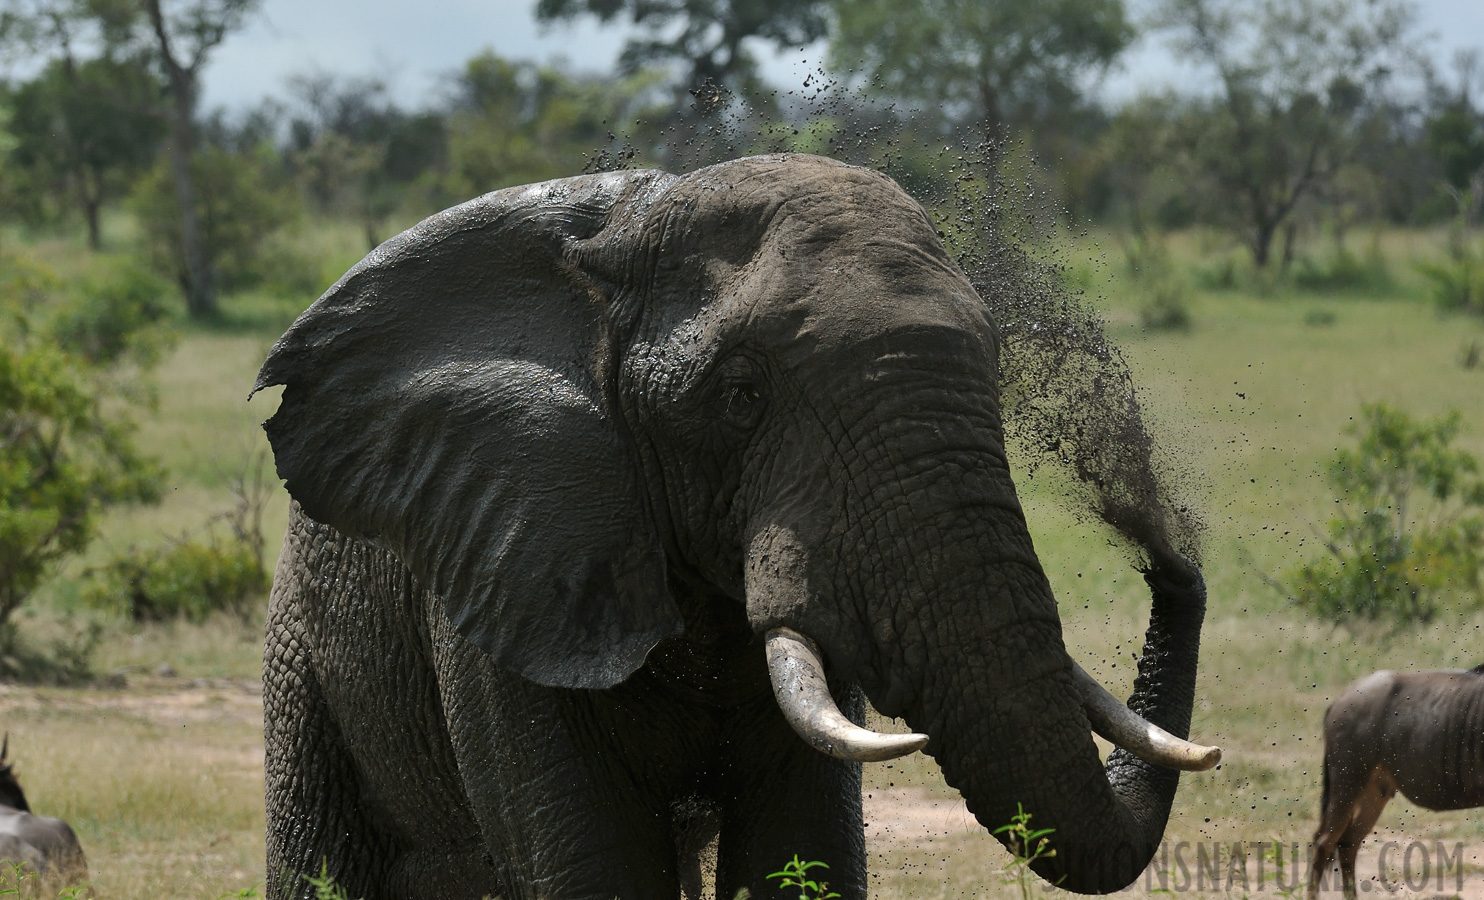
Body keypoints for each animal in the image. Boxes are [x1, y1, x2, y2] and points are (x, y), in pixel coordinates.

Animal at [255, 155, 1222, 900]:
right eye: (741, 398)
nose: (1164, 549)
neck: (622, 239)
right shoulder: (515, 563)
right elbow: (595, 870)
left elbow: (803, 851)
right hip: (305, 657)